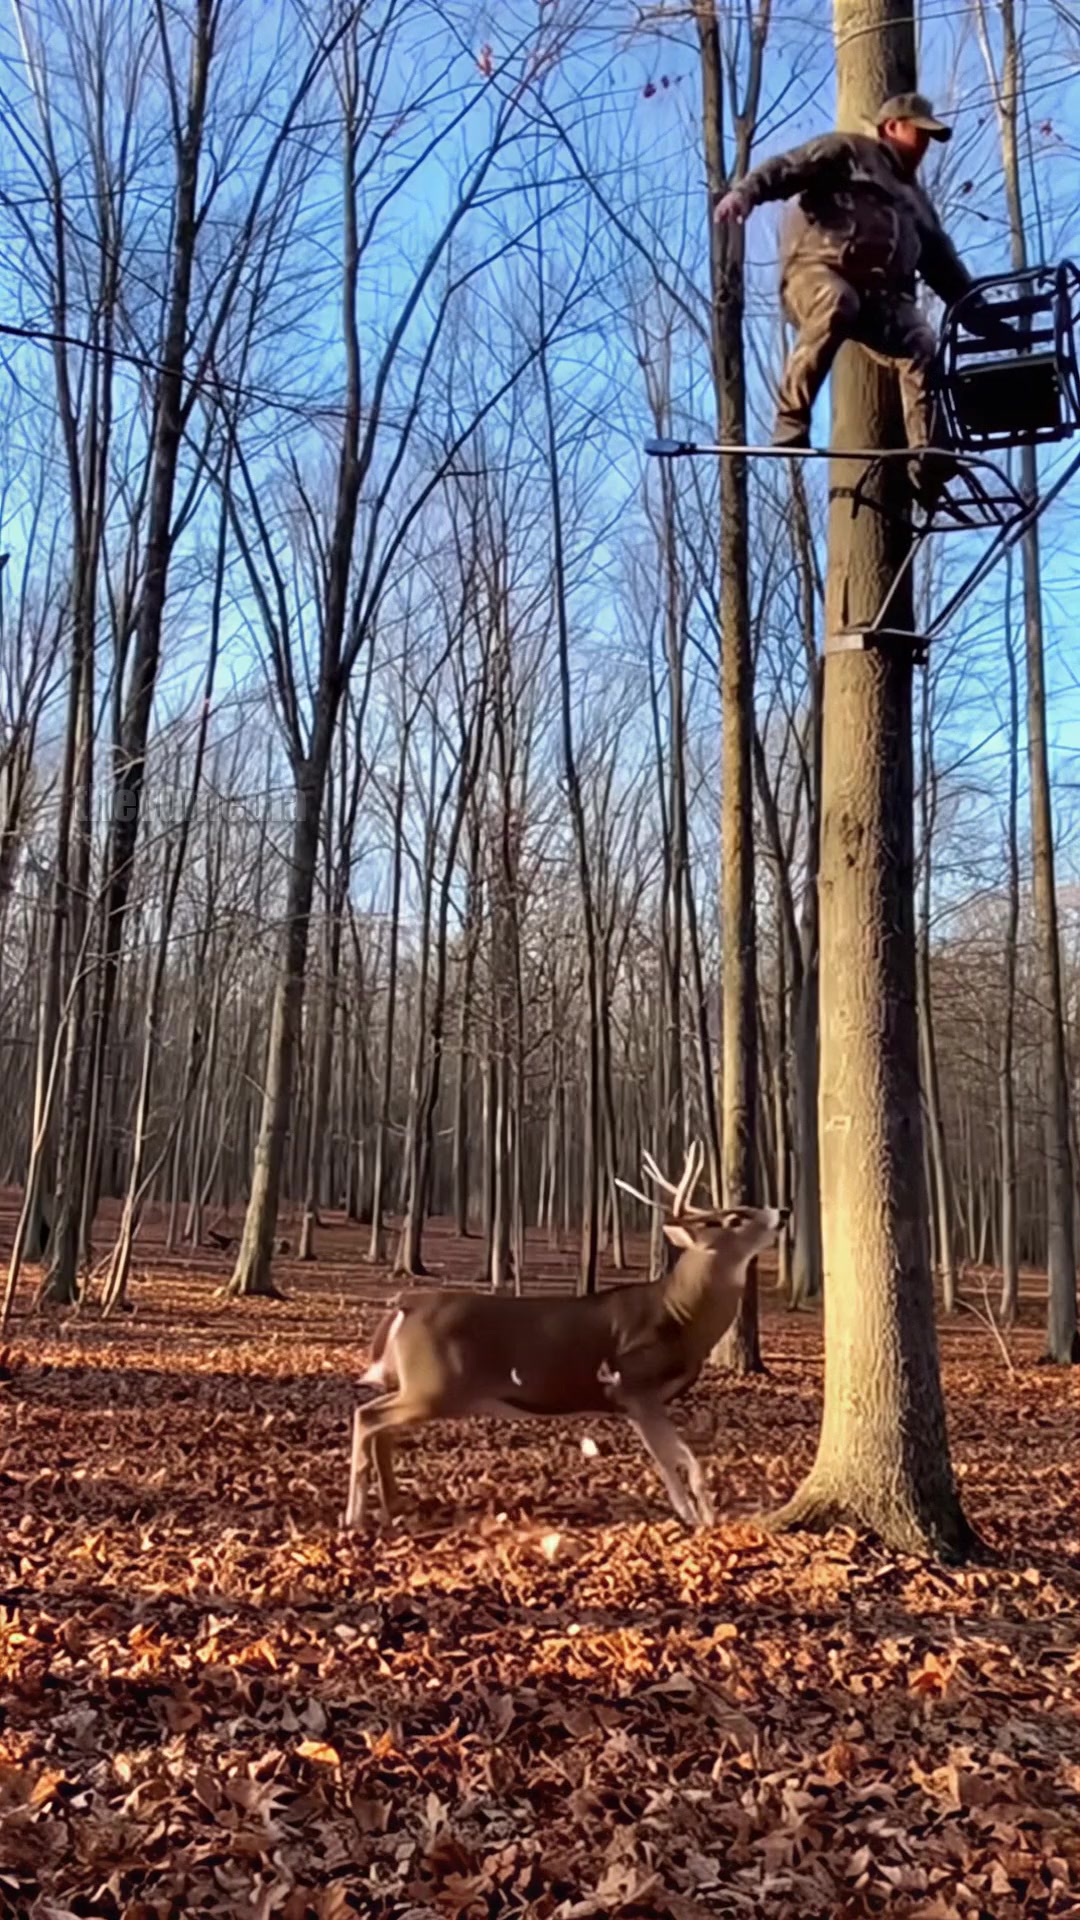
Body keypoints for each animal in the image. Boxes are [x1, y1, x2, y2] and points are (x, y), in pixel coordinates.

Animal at [342, 1142, 786, 1532]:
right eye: (735, 1219)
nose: (782, 1209)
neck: (681, 1317)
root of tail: (406, 1305)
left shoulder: (638, 1402)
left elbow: (678, 1462)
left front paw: (700, 1516)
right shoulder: (634, 1389)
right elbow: (678, 1462)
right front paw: (698, 1519)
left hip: (420, 1387)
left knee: (381, 1429)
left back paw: (394, 1504)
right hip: (435, 1387)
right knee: (368, 1417)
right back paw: (354, 1517)